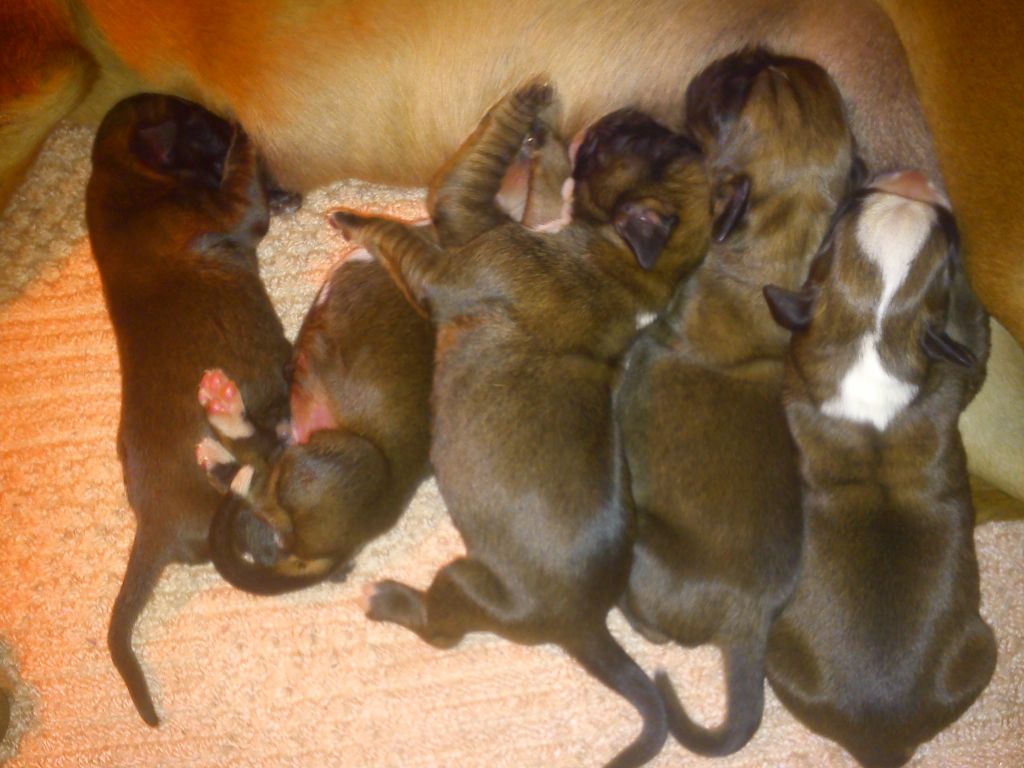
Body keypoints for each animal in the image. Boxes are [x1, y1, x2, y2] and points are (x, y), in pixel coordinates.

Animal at [84, 93, 294, 724]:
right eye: (200, 123)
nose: (292, 189)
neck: (127, 182)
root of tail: (151, 525)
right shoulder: (229, 207)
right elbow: (242, 184)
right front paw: (245, 138)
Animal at [196, 253, 436, 593]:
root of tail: (352, 544)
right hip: (290, 425)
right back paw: (218, 448)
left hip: (350, 456)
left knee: (262, 483)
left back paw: (224, 413)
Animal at [329, 83, 712, 768]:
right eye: (666, 139)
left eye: (630, 143)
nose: (622, 112)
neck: (632, 266)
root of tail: (585, 625)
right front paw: (532, 135)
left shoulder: (445, 257)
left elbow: (440, 197)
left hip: (463, 581)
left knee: (441, 631)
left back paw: (392, 601)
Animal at [614, 51, 864, 761]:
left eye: (730, 99)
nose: (740, 52)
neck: (779, 250)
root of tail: (749, 625)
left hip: (644, 551)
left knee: (654, 627)